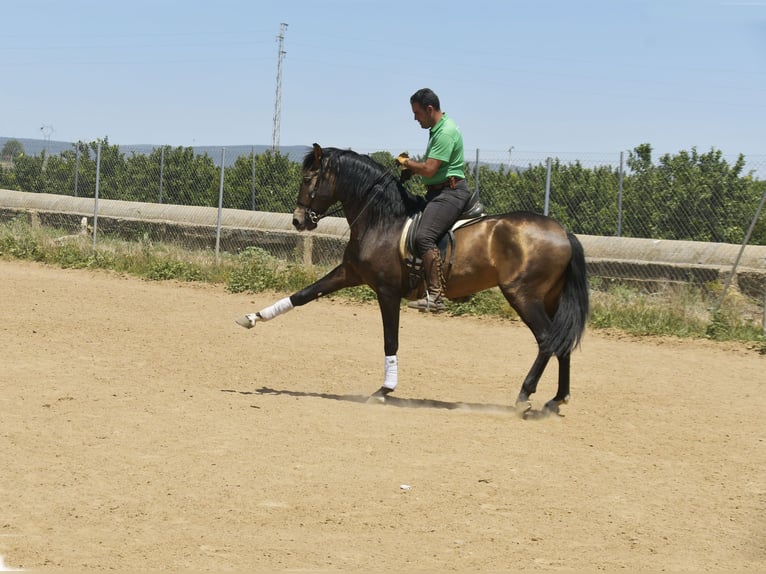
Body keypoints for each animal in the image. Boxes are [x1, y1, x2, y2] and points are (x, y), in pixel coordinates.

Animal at [237, 143, 592, 414]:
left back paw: (524, 396)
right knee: (560, 341)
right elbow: (302, 295)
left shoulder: (386, 291)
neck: (383, 220)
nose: (298, 221)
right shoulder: (349, 273)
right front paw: (252, 317)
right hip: (549, 298)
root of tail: (562, 231)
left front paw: (384, 390)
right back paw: (556, 400)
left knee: (546, 340)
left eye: (309, 178)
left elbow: (390, 340)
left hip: (522, 294)